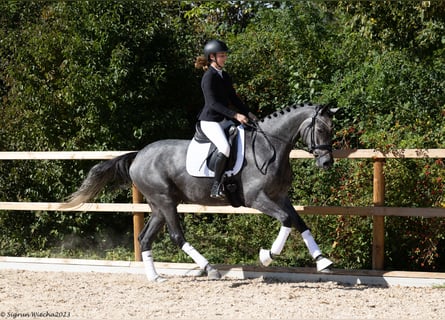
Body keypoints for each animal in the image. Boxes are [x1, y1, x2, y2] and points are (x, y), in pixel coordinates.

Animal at [65, 104, 336, 282]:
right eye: (322, 130)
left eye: (332, 130)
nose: (327, 163)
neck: (268, 147)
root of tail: (138, 156)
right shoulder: (256, 199)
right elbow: (286, 220)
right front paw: (266, 257)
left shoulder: (280, 197)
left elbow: (299, 222)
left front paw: (323, 261)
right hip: (165, 202)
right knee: (177, 236)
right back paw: (210, 269)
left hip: (158, 206)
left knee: (145, 238)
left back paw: (155, 277)